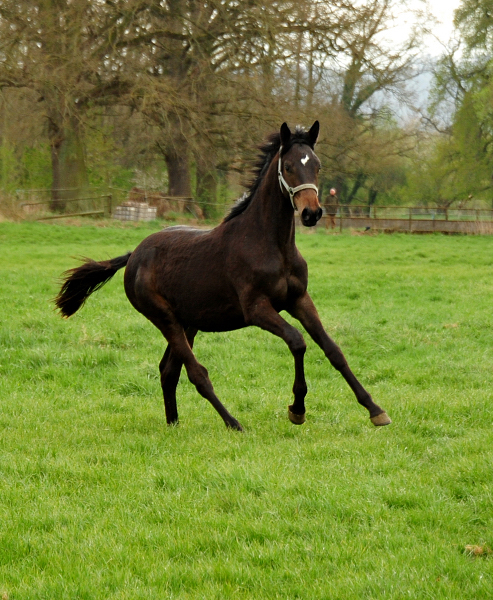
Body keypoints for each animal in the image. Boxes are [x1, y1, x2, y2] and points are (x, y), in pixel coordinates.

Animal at [54, 122, 392, 432]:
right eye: (288, 166)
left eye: (317, 165)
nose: (312, 213)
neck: (271, 244)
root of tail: (134, 255)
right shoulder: (256, 309)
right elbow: (298, 342)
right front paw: (297, 409)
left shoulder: (299, 300)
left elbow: (333, 350)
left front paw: (375, 410)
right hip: (164, 318)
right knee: (196, 373)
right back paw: (233, 422)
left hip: (188, 322)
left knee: (169, 370)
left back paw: (173, 423)